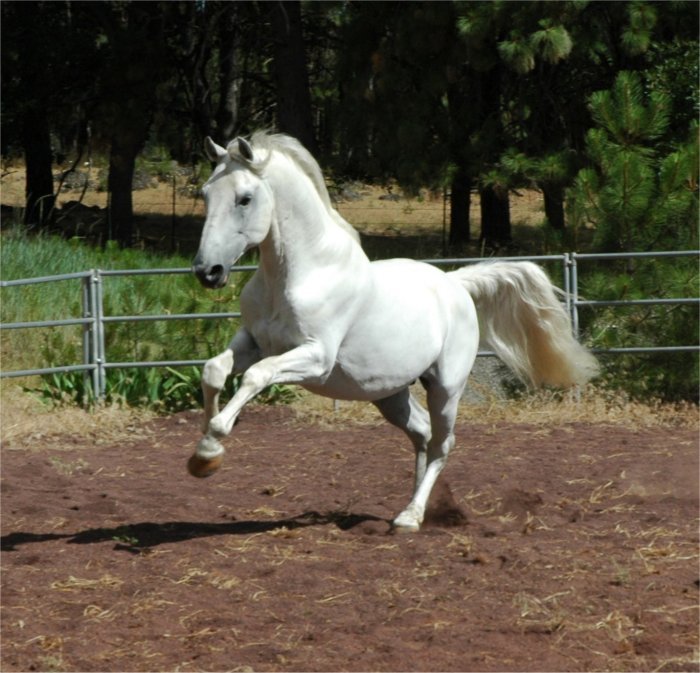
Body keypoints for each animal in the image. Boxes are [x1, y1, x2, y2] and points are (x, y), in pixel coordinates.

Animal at [189, 131, 599, 533]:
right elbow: (214, 370)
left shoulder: (315, 357)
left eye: (244, 198)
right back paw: (414, 506)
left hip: (446, 389)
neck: (300, 274)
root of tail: (455, 283)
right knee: (422, 434)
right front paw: (203, 455)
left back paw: (410, 517)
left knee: (442, 444)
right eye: (206, 193)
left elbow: (256, 376)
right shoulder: (253, 342)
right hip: (390, 393)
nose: (207, 271)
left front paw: (211, 447)